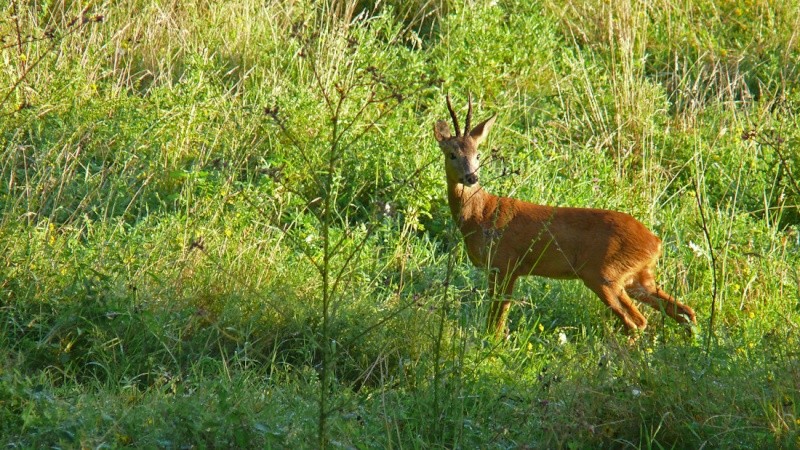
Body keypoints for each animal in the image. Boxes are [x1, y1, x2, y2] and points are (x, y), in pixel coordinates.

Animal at [434, 93, 696, 336]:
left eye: (478, 154)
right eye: (452, 154)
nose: (471, 177)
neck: (481, 215)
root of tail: (656, 242)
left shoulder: (505, 263)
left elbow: (496, 318)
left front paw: (492, 343)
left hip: (603, 274)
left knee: (637, 321)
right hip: (638, 277)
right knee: (685, 311)